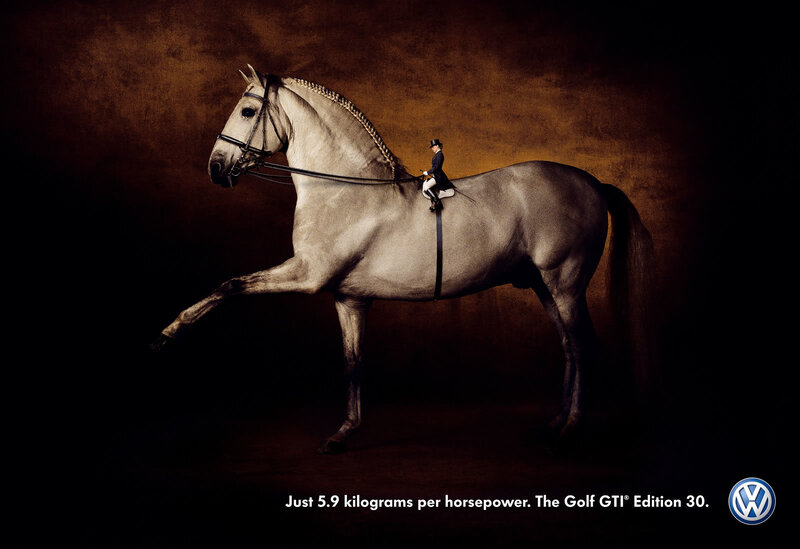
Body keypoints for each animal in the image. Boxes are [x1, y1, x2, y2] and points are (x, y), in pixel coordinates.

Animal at [152, 66, 654, 453]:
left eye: (248, 111)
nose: (216, 167)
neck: (344, 189)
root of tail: (591, 181)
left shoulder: (307, 275)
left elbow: (231, 284)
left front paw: (171, 331)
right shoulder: (348, 299)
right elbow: (353, 361)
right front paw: (344, 432)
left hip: (564, 284)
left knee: (583, 348)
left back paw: (570, 430)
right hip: (543, 287)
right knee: (569, 347)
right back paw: (556, 422)